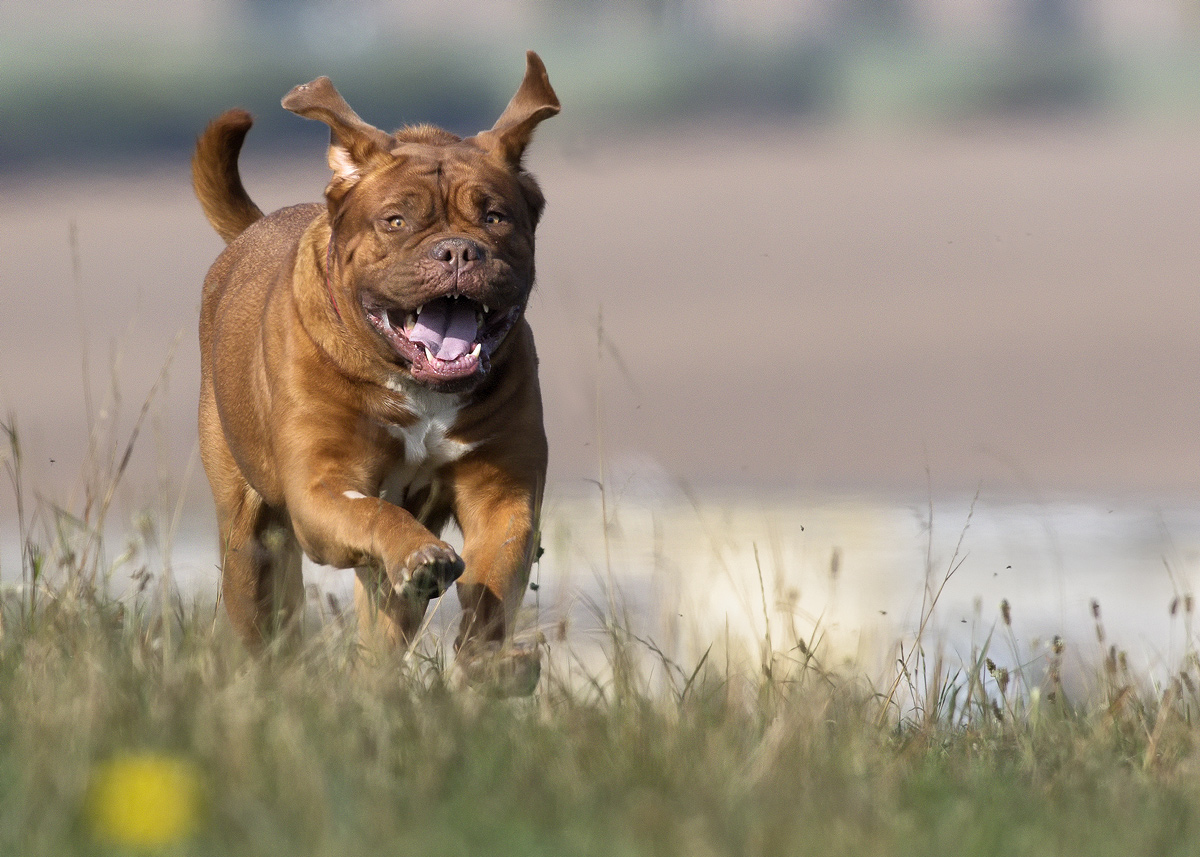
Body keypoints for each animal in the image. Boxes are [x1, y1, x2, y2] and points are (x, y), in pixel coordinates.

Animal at [190, 50, 556, 686]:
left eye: (495, 217)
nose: (458, 250)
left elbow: (494, 581)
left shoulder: (503, 491)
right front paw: (420, 554)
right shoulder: (321, 486)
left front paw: (491, 662)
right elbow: (375, 514)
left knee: (382, 631)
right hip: (250, 539)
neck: (421, 388)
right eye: (395, 221)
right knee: (264, 613)